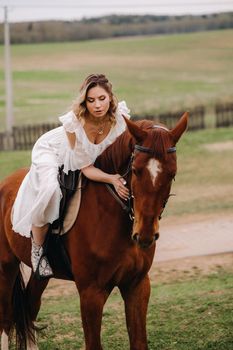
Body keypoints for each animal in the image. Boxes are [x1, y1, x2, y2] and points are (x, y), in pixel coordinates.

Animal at [0, 113, 187, 348]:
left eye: (172, 174)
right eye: (136, 170)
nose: (144, 235)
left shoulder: (137, 286)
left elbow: (139, 342)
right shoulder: (91, 294)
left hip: (39, 275)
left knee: (31, 307)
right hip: (6, 266)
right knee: (6, 318)